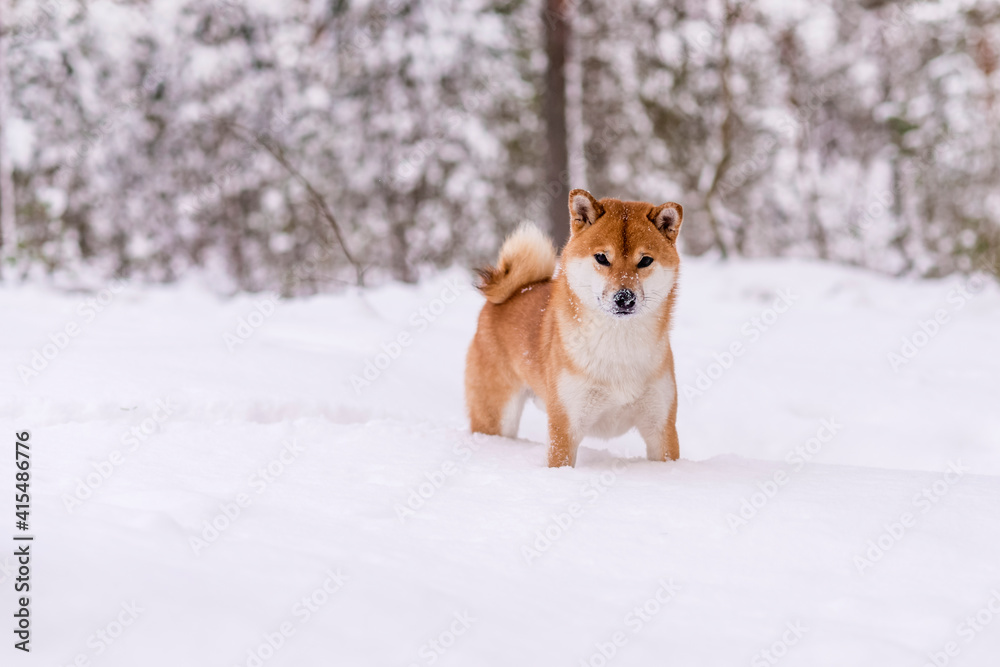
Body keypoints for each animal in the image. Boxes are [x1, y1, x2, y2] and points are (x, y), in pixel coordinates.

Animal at [464, 190, 684, 468]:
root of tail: (516, 290)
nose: (624, 298)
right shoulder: (565, 427)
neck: (618, 346)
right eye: (602, 257)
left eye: (645, 260)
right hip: (495, 415)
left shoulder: (661, 428)